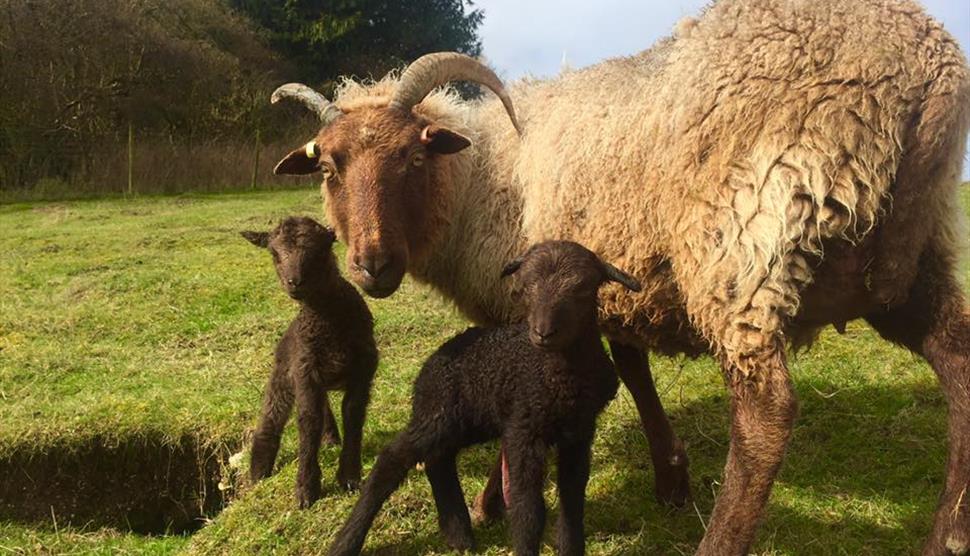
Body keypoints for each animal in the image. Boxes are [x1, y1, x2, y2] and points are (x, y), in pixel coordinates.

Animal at [242, 216, 378, 508]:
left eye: (319, 251)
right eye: (274, 254)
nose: (294, 282)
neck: (326, 319)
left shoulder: (363, 366)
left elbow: (353, 413)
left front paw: (349, 476)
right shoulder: (305, 367)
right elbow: (307, 420)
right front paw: (306, 489)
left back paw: (330, 438)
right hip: (284, 373)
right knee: (271, 418)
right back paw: (259, 472)